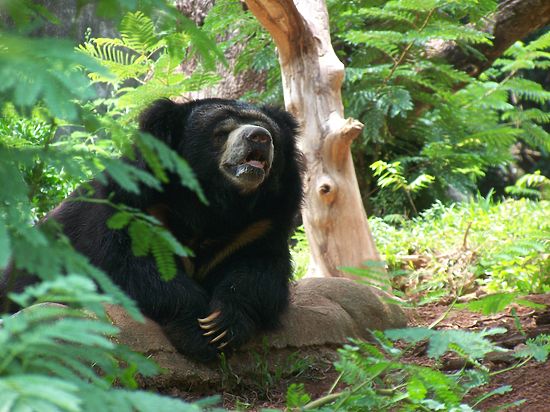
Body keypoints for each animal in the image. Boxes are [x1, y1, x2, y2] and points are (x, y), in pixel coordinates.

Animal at [0, 100, 304, 364]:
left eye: (272, 133)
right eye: (221, 133)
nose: (260, 137)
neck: (216, 205)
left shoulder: (257, 226)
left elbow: (258, 272)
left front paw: (221, 325)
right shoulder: (132, 208)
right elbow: (129, 266)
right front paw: (197, 331)